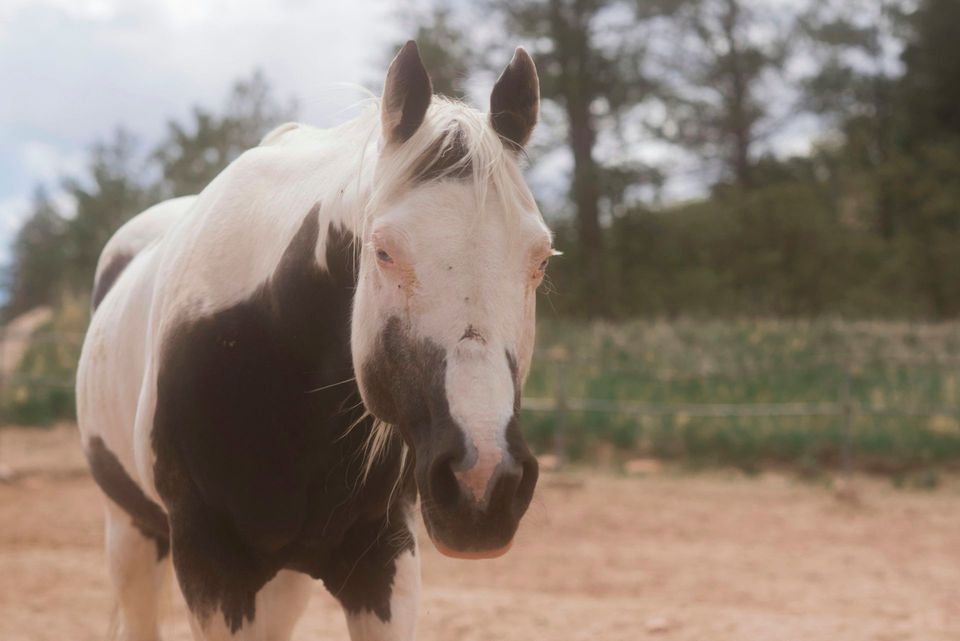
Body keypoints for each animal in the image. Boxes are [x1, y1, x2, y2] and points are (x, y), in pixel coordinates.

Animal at [75, 41, 552, 641]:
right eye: (384, 251)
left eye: (540, 259)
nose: (483, 481)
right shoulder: (211, 565)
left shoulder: (384, 560)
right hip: (131, 535)